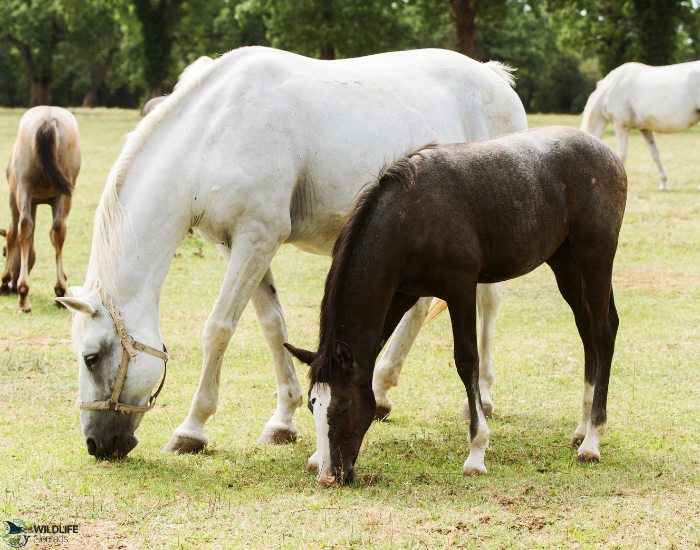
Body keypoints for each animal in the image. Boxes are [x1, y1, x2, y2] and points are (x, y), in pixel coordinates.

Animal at [1, 106, 80, 312]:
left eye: (3, 252)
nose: (12, 287)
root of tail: (48, 118)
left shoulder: (12, 196)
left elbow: (12, 235)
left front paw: (4, 282)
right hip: (64, 190)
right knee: (58, 229)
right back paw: (60, 290)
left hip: (23, 186)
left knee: (24, 227)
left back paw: (23, 295)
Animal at [55, 46, 527, 459]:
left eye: (91, 357)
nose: (96, 445)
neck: (215, 132)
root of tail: (493, 76)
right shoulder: (240, 244)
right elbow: (271, 326)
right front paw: (282, 420)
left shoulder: (257, 237)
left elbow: (218, 329)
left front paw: (192, 429)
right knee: (420, 307)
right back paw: (381, 391)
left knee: (488, 302)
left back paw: (481, 399)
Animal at [285, 126, 627, 486]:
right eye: (313, 406)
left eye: (344, 406)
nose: (330, 475)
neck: (411, 216)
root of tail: (607, 153)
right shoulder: (402, 294)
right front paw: (315, 456)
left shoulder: (460, 288)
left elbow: (466, 361)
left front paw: (477, 451)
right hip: (565, 261)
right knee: (587, 328)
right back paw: (583, 428)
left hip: (595, 256)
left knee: (603, 330)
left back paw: (592, 440)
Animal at [580, 61, 700, 190]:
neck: (609, 90)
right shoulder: (645, 128)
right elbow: (655, 154)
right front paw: (663, 184)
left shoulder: (621, 124)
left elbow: (622, 155)